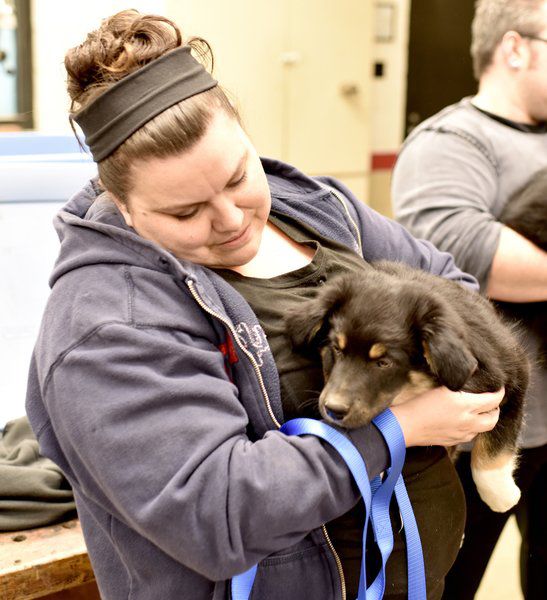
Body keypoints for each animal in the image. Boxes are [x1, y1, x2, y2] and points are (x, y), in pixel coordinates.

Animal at [286, 262, 532, 510]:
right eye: (337, 349)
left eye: (383, 363)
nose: (333, 410)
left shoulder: (515, 379)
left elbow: (494, 450)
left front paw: (502, 497)